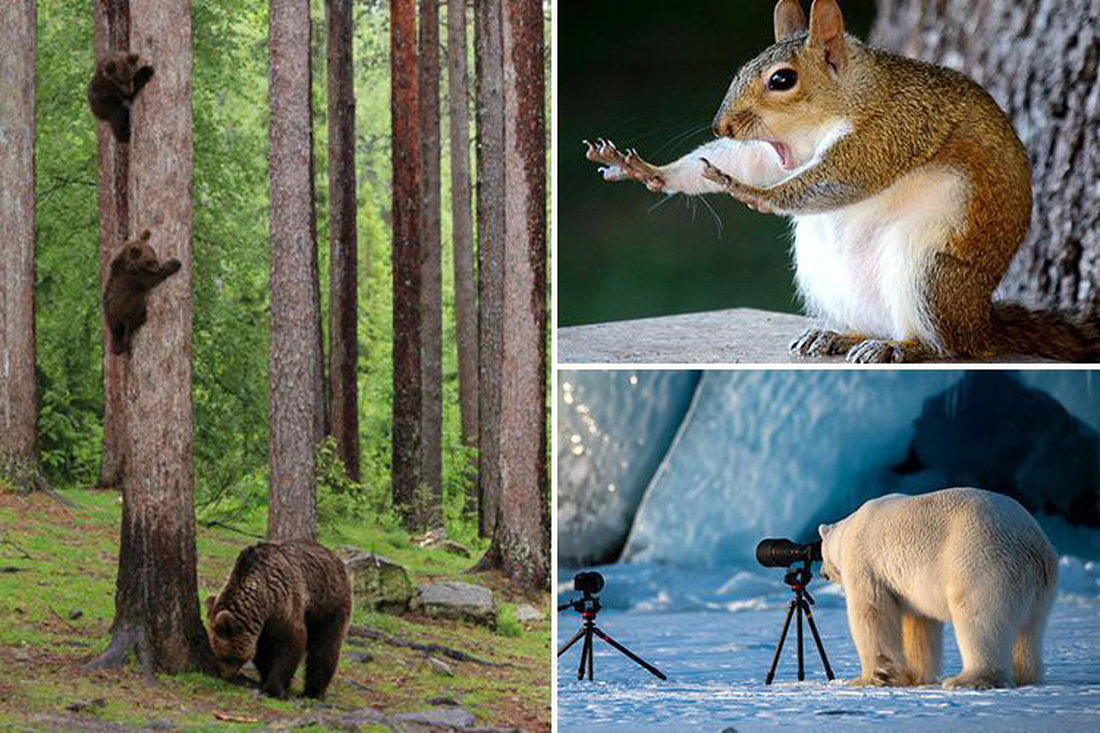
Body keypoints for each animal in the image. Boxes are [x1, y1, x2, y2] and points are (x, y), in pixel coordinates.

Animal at [206, 537, 352, 695]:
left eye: (226, 656)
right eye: (217, 653)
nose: (225, 675)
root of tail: (338, 559)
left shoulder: (283, 601)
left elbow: (291, 641)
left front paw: (277, 688)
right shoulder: (263, 623)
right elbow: (263, 651)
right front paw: (266, 678)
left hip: (330, 602)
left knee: (326, 644)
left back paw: (314, 691)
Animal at [818, 484, 1056, 686]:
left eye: (821, 553)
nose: (822, 574)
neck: (849, 529)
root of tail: (1033, 544)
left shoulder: (865, 563)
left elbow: (871, 614)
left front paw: (868, 679)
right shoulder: (910, 587)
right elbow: (919, 624)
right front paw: (914, 677)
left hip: (982, 562)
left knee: (979, 620)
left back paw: (966, 679)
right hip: (1038, 589)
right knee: (1030, 630)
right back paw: (1025, 676)